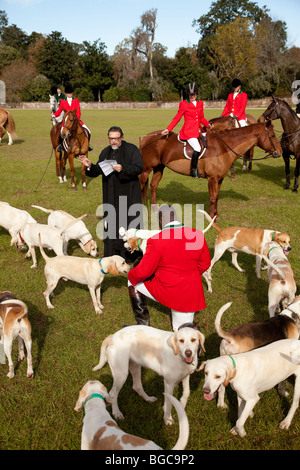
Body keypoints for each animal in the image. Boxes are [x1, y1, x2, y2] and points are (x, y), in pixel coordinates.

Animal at [140, 120, 282, 218]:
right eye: (272, 135)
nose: (280, 152)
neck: (223, 147)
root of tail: (146, 138)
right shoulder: (212, 178)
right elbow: (212, 197)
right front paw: (213, 217)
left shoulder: (220, 179)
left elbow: (217, 196)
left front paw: (216, 215)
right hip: (146, 169)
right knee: (142, 186)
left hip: (159, 167)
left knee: (153, 185)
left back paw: (155, 210)